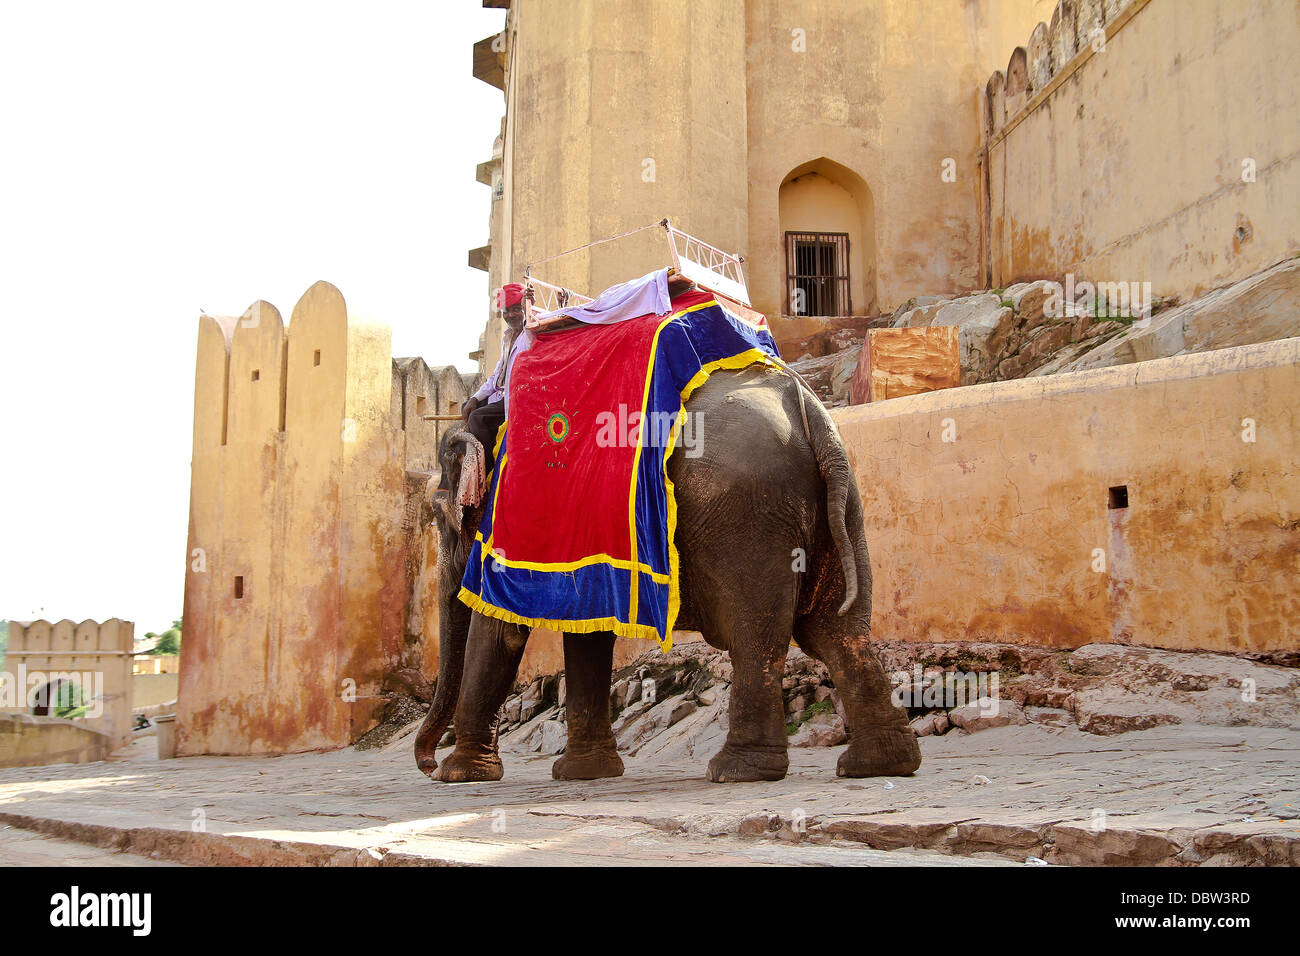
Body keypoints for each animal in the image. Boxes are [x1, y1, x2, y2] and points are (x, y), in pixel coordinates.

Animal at [414, 362, 921, 784]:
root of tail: (808, 411)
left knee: (759, 634)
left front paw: (460, 776)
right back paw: (878, 765)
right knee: (836, 631)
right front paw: (584, 774)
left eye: (439, 516)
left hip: (749, 515)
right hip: (841, 505)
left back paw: (736, 771)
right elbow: (586, 629)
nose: (427, 765)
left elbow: (500, 630)